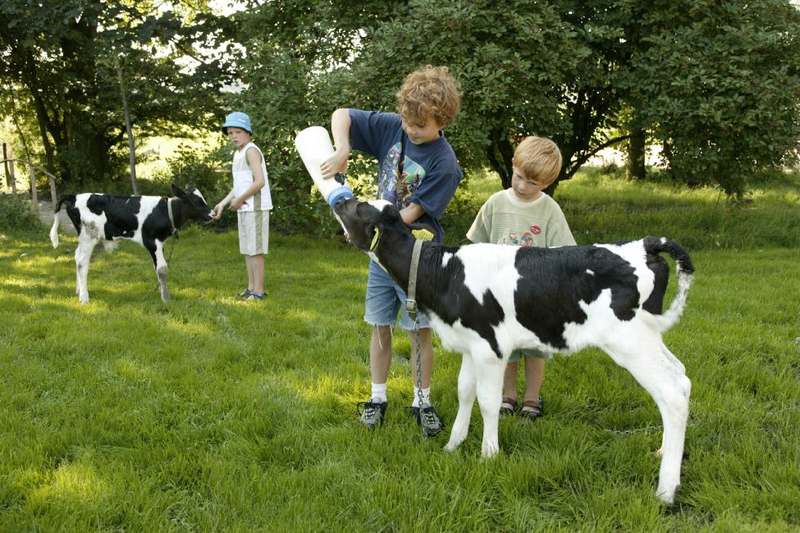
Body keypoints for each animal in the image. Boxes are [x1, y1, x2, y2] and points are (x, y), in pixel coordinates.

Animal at [49, 184, 213, 303]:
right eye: (197, 202)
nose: (212, 214)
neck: (164, 212)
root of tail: (74, 196)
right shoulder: (152, 241)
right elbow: (162, 269)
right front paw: (166, 299)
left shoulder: (160, 242)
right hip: (89, 235)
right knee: (82, 262)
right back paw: (84, 297)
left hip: (84, 237)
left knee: (77, 257)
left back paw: (78, 290)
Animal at [333, 198, 695, 505]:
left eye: (358, 208)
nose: (337, 200)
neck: (445, 273)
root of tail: (645, 244)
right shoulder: (470, 345)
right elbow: (465, 392)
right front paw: (453, 444)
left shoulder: (490, 347)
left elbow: (488, 401)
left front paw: (488, 454)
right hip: (648, 337)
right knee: (681, 377)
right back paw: (664, 453)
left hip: (630, 340)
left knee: (671, 392)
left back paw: (666, 490)